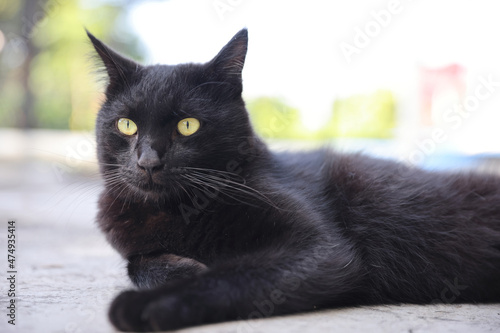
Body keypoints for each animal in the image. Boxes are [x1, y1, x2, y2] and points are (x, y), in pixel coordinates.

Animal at [88, 27, 500, 330]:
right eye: (127, 125)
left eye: (188, 126)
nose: (148, 162)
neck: (177, 211)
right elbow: (138, 262)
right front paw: (180, 267)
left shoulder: (320, 249)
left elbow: (231, 275)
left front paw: (144, 305)